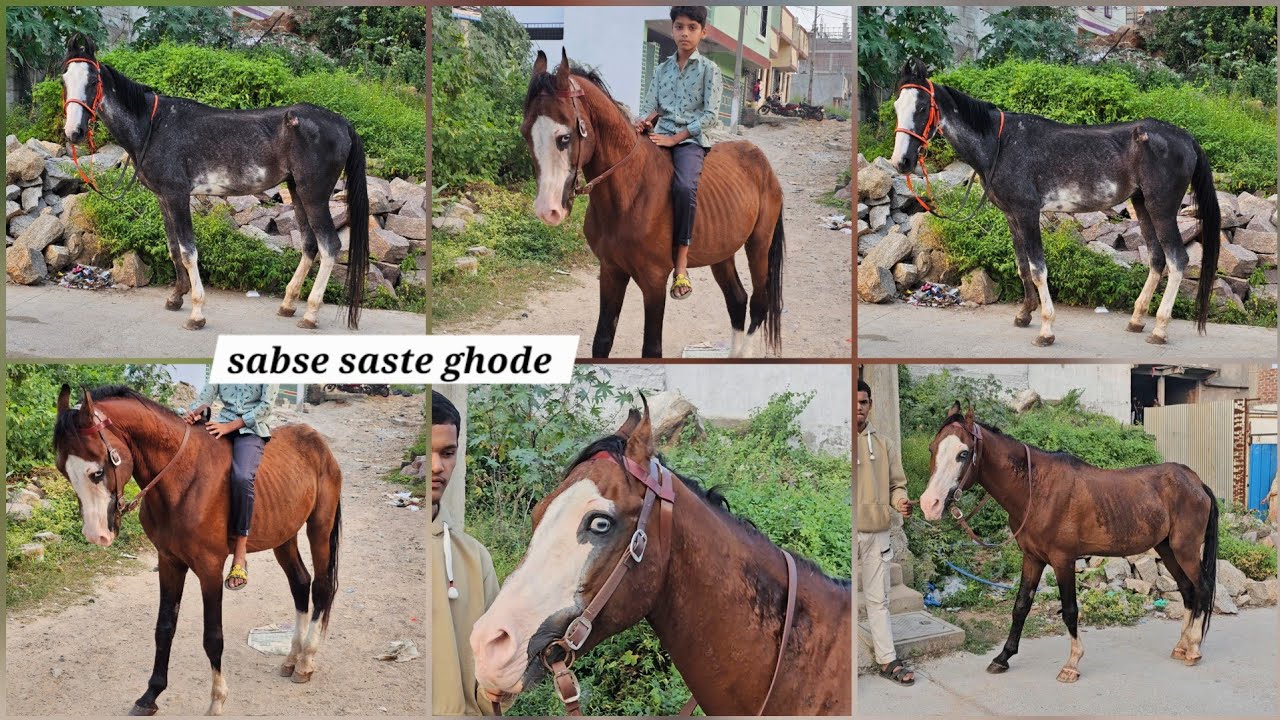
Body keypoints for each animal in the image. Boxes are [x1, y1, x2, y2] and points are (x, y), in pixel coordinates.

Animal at [53, 385, 344, 715]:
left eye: (97, 473)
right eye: (63, 470)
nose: (96, 534)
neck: (183, 479)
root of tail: (317, 442)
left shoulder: (209, 568)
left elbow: (212, 637)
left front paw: (217, 700)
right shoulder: (169, 562)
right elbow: (164, 628)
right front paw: (150, 695)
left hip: (319, 527)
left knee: (321, 587)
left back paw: (306, 661)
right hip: (284, 535)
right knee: (300, 583)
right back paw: (292, 658)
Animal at [59, 33, 369, 331]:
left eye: (93, 80)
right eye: (64, 79)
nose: (74, 132)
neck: (153, 126)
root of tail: (342, 123)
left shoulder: (177, 195)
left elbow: (188, 251)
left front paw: (196, 313)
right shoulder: (163, 197)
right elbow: (173, 247)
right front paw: (176, 297)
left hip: (313, 194)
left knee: (329, 247)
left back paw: (311, 314)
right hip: (297, 191)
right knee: (309, 245)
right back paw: (288, 304)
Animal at [522, 49, 785, 359]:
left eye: (564, 137)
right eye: (526, 134)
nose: (547, 210)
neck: (629, 194)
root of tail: (761, 161)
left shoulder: (654, 280)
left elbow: (651, 348)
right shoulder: (611, 271)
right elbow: (602, 340)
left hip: (759, 244)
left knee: (759, 302)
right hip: (722, 252)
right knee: (737, 299)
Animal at [890, 59, 1221, 347]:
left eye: (922, 107)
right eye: (896, 106)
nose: (901, 162)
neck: (1000, 144)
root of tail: (1186, 139)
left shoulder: (1027, 212)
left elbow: (1038, 269)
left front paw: (1046, 330)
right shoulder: (1012, 215)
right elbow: (1022, 265)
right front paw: (1024, 314)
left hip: (1161, 207)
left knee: (1177, 260)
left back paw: (1160, 329)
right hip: (1142, 205)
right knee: (1156, 258)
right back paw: (1138, 320)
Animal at [918, 403, 1219, 683]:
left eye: (963, 453)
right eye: (932, 449)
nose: (929, 504)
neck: (1036, 490)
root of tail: (1197, 482)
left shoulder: (1063, 560)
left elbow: (1070, 610)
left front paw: (1071, 665)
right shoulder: (1032, 558)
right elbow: (1020, 607)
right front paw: (1003, 657)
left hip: (1185, 549)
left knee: (1202, 587)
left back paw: (1193, 649)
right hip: (1167, 549)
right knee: (1187, 590)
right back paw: (1181, 646)